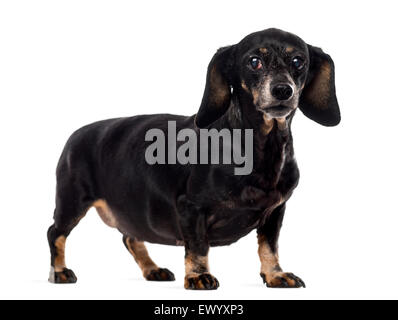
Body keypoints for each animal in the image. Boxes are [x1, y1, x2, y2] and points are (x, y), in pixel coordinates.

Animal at [48, 28, 340, 290]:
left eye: (298, 61)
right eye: (254, 61)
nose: (283, 90)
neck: (261, 147)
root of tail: (76, 134)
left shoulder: (275, 211)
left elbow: (269, 246)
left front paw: (275, 275)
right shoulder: (191, 207)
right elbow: (198, 246)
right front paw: (198, 276)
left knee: (131, 239)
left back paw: (152, 269)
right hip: (72, 201)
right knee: (56, 233)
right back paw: (60, 271)